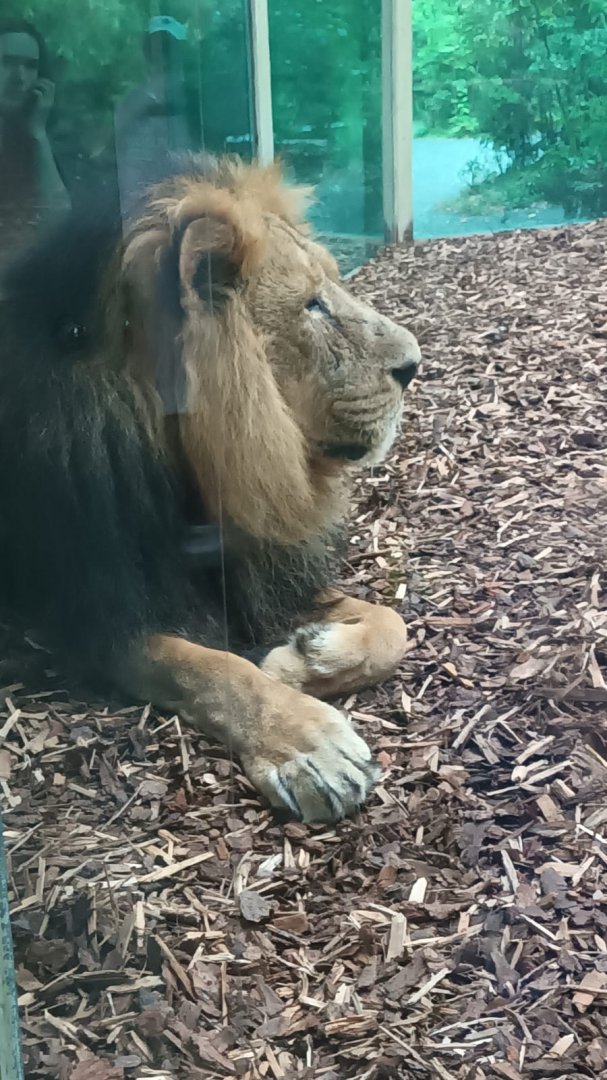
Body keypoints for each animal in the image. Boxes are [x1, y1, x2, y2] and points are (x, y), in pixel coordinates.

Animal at [0, 154, 419, 823]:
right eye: (313, 306)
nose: (415, 364)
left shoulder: (262, 570)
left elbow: (394, 623)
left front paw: (305, 656)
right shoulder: (96, 612)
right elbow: (208, 666)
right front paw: (310, 745)